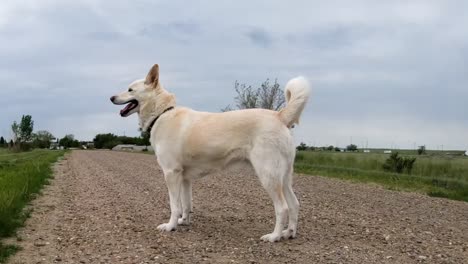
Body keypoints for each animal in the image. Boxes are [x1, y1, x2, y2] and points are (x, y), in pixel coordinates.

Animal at [110, 64, 310, 241]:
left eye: (130, 89)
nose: (111, 97)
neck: (162, 113)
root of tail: (279, 116)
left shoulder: (171, 174)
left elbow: (174, 205)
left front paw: (170, 226)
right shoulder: (185, 178)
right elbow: (186, 204)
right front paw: (184, 221)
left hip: (268, 176)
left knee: (282, 208)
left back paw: (275, 236)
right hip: (284, 177)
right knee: (294, 204)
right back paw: (289, 233)